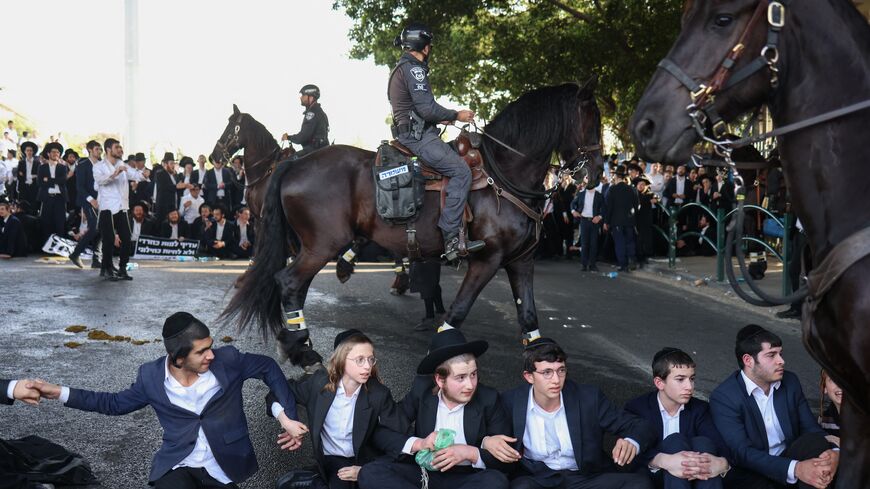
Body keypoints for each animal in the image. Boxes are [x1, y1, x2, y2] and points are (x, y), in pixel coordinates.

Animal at [221, 81, 604, 366]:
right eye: (593, 121)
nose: (596, 173)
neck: (505, 173)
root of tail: (295, 164)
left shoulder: (520, 261)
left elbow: (529, 317)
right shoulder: (487, 259)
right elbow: (458, 311)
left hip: (314, 246)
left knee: (293, 285)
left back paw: (297, 342)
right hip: (321, 245)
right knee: (288, 282)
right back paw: (301, 348)